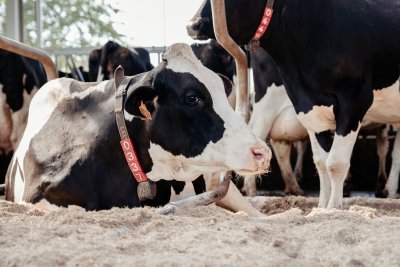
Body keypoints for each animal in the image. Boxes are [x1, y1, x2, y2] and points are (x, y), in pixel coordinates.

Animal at [188, 0, 400, 209]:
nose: (193, 24)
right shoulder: (308, 105)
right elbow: (322, 162)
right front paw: (324, 207)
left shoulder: (353, 101)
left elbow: (335, 163)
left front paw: (331, 208)